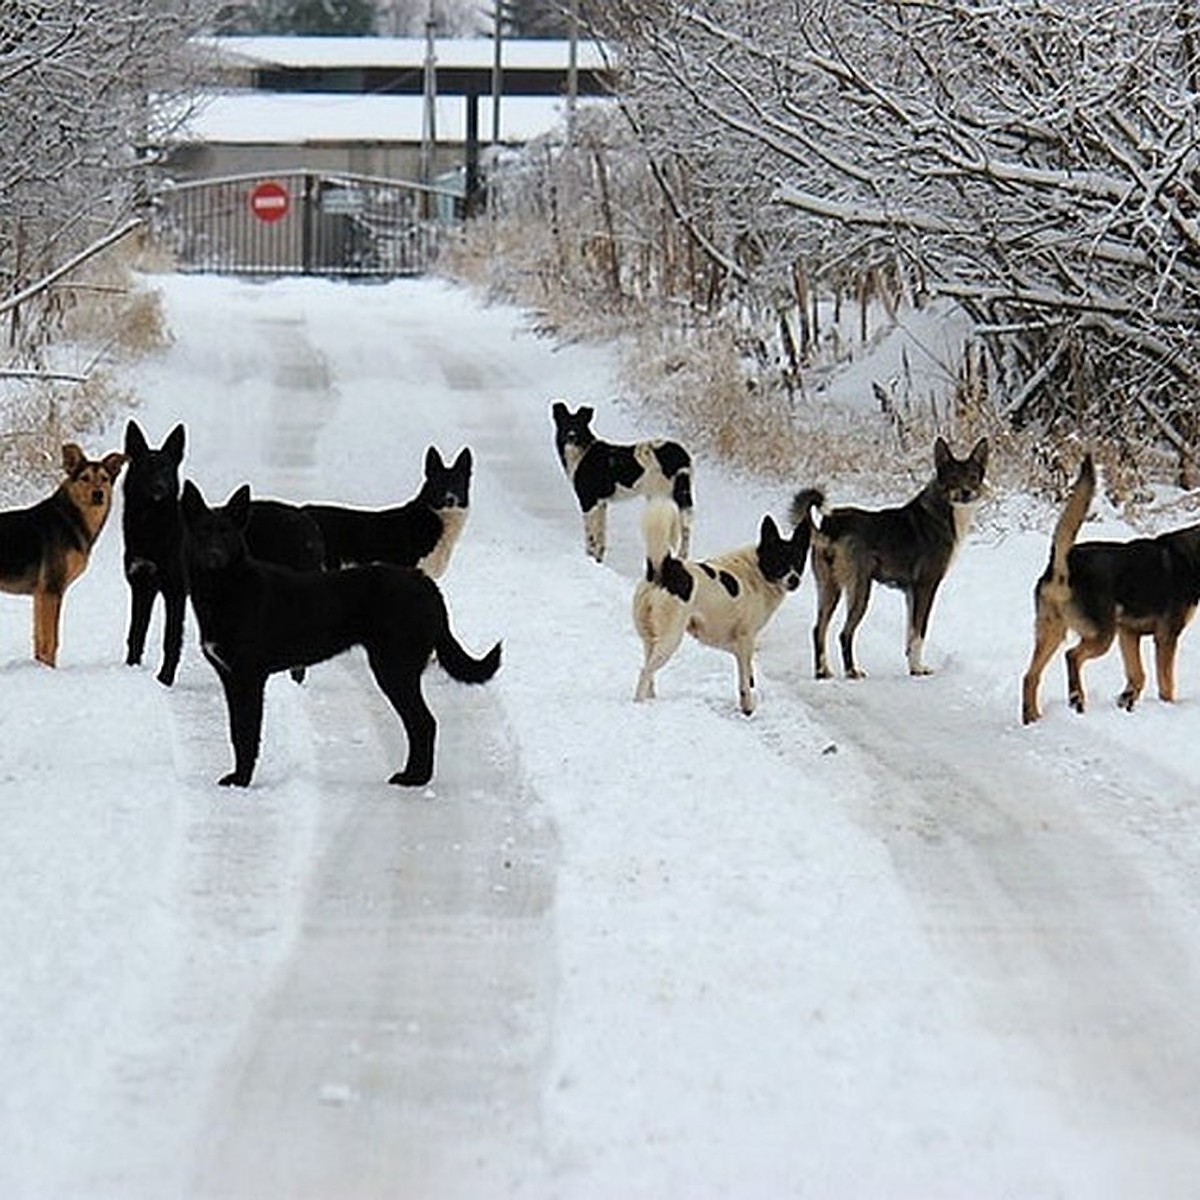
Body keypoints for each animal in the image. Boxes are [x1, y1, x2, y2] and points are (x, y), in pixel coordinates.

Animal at [0, 441, 124, 667]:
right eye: (84, 478)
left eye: (104, 478)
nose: (98, 494)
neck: (71, 518)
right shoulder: (52, 588)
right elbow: (50, 641)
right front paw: (49, 670)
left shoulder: (40, 594)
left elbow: (39, 640)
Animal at [180, 477, 499, 787]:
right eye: (202, 533)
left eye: (226, 534)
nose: (213, 555)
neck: (227, 589)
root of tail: (426, 584)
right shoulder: (231, 678)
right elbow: (236, 733)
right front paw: (237, 777)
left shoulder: (249, 678)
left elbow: (247, 735)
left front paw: (242, 781)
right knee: (421, 724)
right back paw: (414, 775)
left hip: (393, 668)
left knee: (423, 723)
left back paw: (414, 779)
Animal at [552, 396, 696, 559]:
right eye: (565, 425)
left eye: (578, 426)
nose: (571, 436)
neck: (581, 450)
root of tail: (680, 455)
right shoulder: (602, 503)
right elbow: (601, 534)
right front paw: (598, 557)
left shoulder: (588, 500)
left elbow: (590, 534)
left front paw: (589, 556)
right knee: (686, 525)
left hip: (663, 494)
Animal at [796, 439, 984, 686]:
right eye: (953, 477)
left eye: (973, 476)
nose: (966, 492)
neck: (944, 511)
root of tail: (830, 524)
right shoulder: (926, 586)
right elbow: (919, 631)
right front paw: (918, 669)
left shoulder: (911, 592)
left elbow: (910, 632)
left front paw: (912, 664)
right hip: (860, 589)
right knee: (844, 633)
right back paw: (852, 671)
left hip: (829, 587)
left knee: (818, 629)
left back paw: (822, 672)